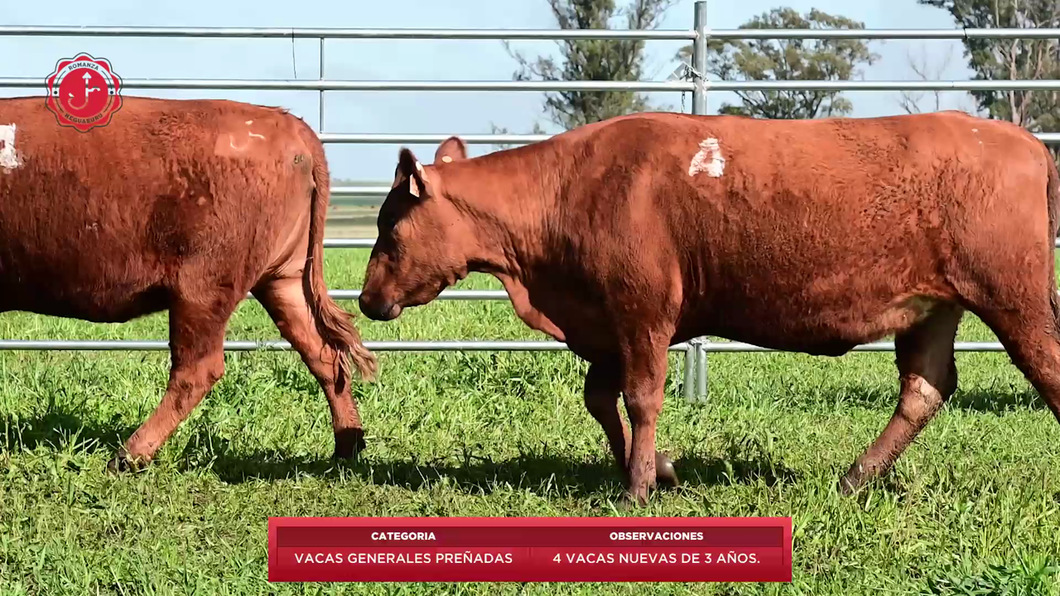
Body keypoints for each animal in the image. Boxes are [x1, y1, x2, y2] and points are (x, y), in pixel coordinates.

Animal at [0, 94, 377, 470]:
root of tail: (287, 122)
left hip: (202, 290)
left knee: (197, 369)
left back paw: (129, 455)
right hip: (284, 279)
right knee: (322, 352)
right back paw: (347, 448)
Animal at [360, 110, 1060, 504]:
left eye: (390, 228)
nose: (367, 299)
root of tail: (1021, 141)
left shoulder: (641, 310)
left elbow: (641, 398)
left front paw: (638, 486)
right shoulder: (607, 322)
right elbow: (600, 399)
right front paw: (659, 469)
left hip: (1014, 299)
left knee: (1045, 372)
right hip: (934, 307)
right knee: (924, 388)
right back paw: (854, 479)